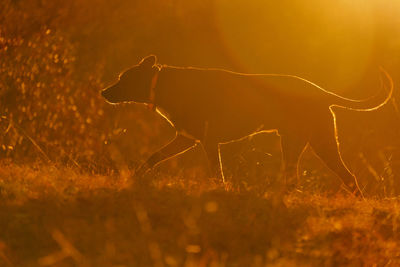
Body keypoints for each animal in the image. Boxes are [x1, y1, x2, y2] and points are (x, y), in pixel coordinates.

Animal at [102, 55, 394, 196]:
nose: (103, 92)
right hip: (303, 144)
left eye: (123, 78)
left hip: (316, 144)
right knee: (313, 178)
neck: (163, 85)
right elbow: (153, 157)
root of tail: (322, 93)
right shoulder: (186, 138)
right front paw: (134, 176)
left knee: (343, 176)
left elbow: (216, 173)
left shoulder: (208, 141)